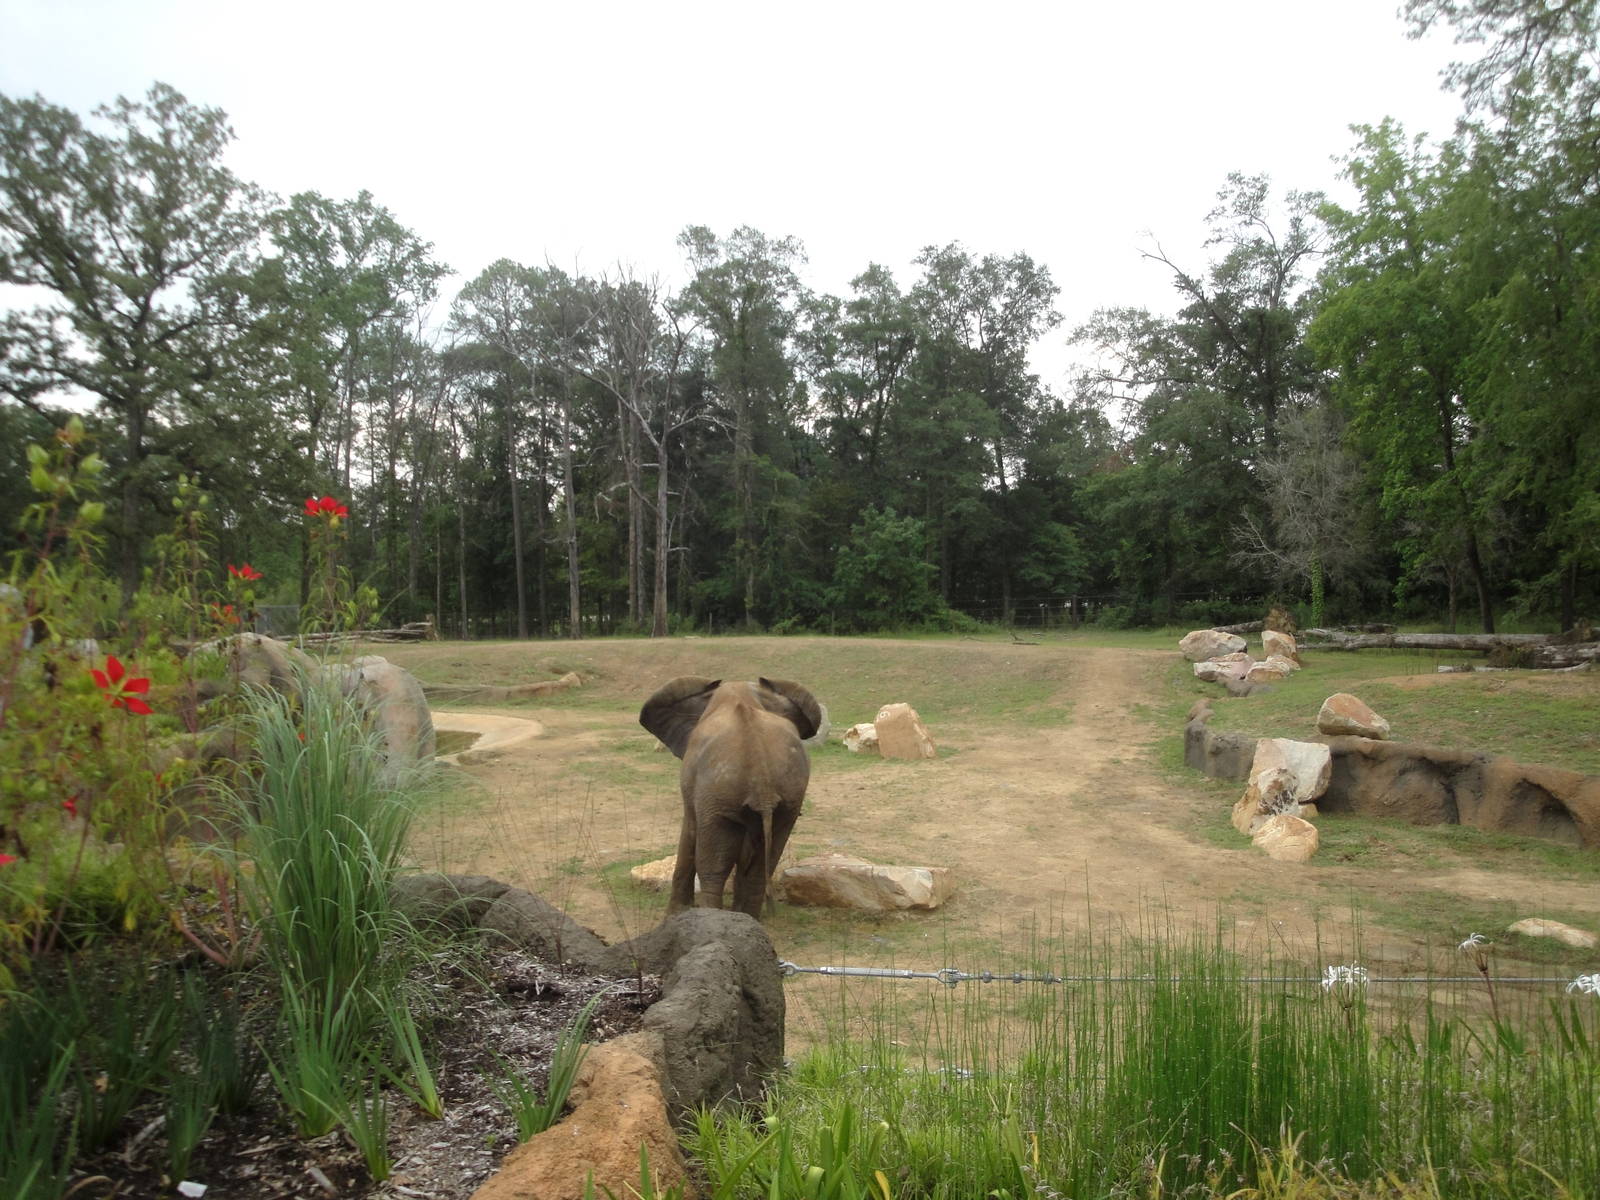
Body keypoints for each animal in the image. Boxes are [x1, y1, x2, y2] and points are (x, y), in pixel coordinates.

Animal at [639, 676, 823, 918]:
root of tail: (761, 778)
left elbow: (689, 829)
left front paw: (674, 915)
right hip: (787, 796)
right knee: (762, 862)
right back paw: (746, 918)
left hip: (717, 793)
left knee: (714, 864)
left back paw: (712, 917)